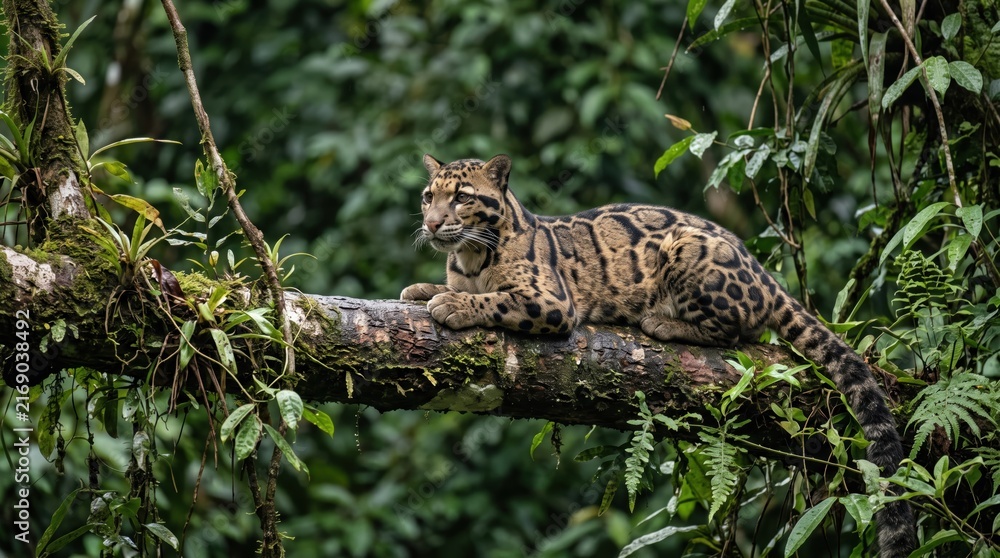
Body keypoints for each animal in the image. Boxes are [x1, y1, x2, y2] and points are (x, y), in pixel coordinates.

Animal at [400, 154, 914, 557]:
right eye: (428, 196)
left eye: (462, 197)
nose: (431, 224)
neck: (469, 258)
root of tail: (766, 276)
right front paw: (422, 288)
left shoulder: (550, 302)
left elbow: (493, 299)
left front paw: (453, 303)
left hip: (688, 249)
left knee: (734, 331)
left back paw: (661, 321)